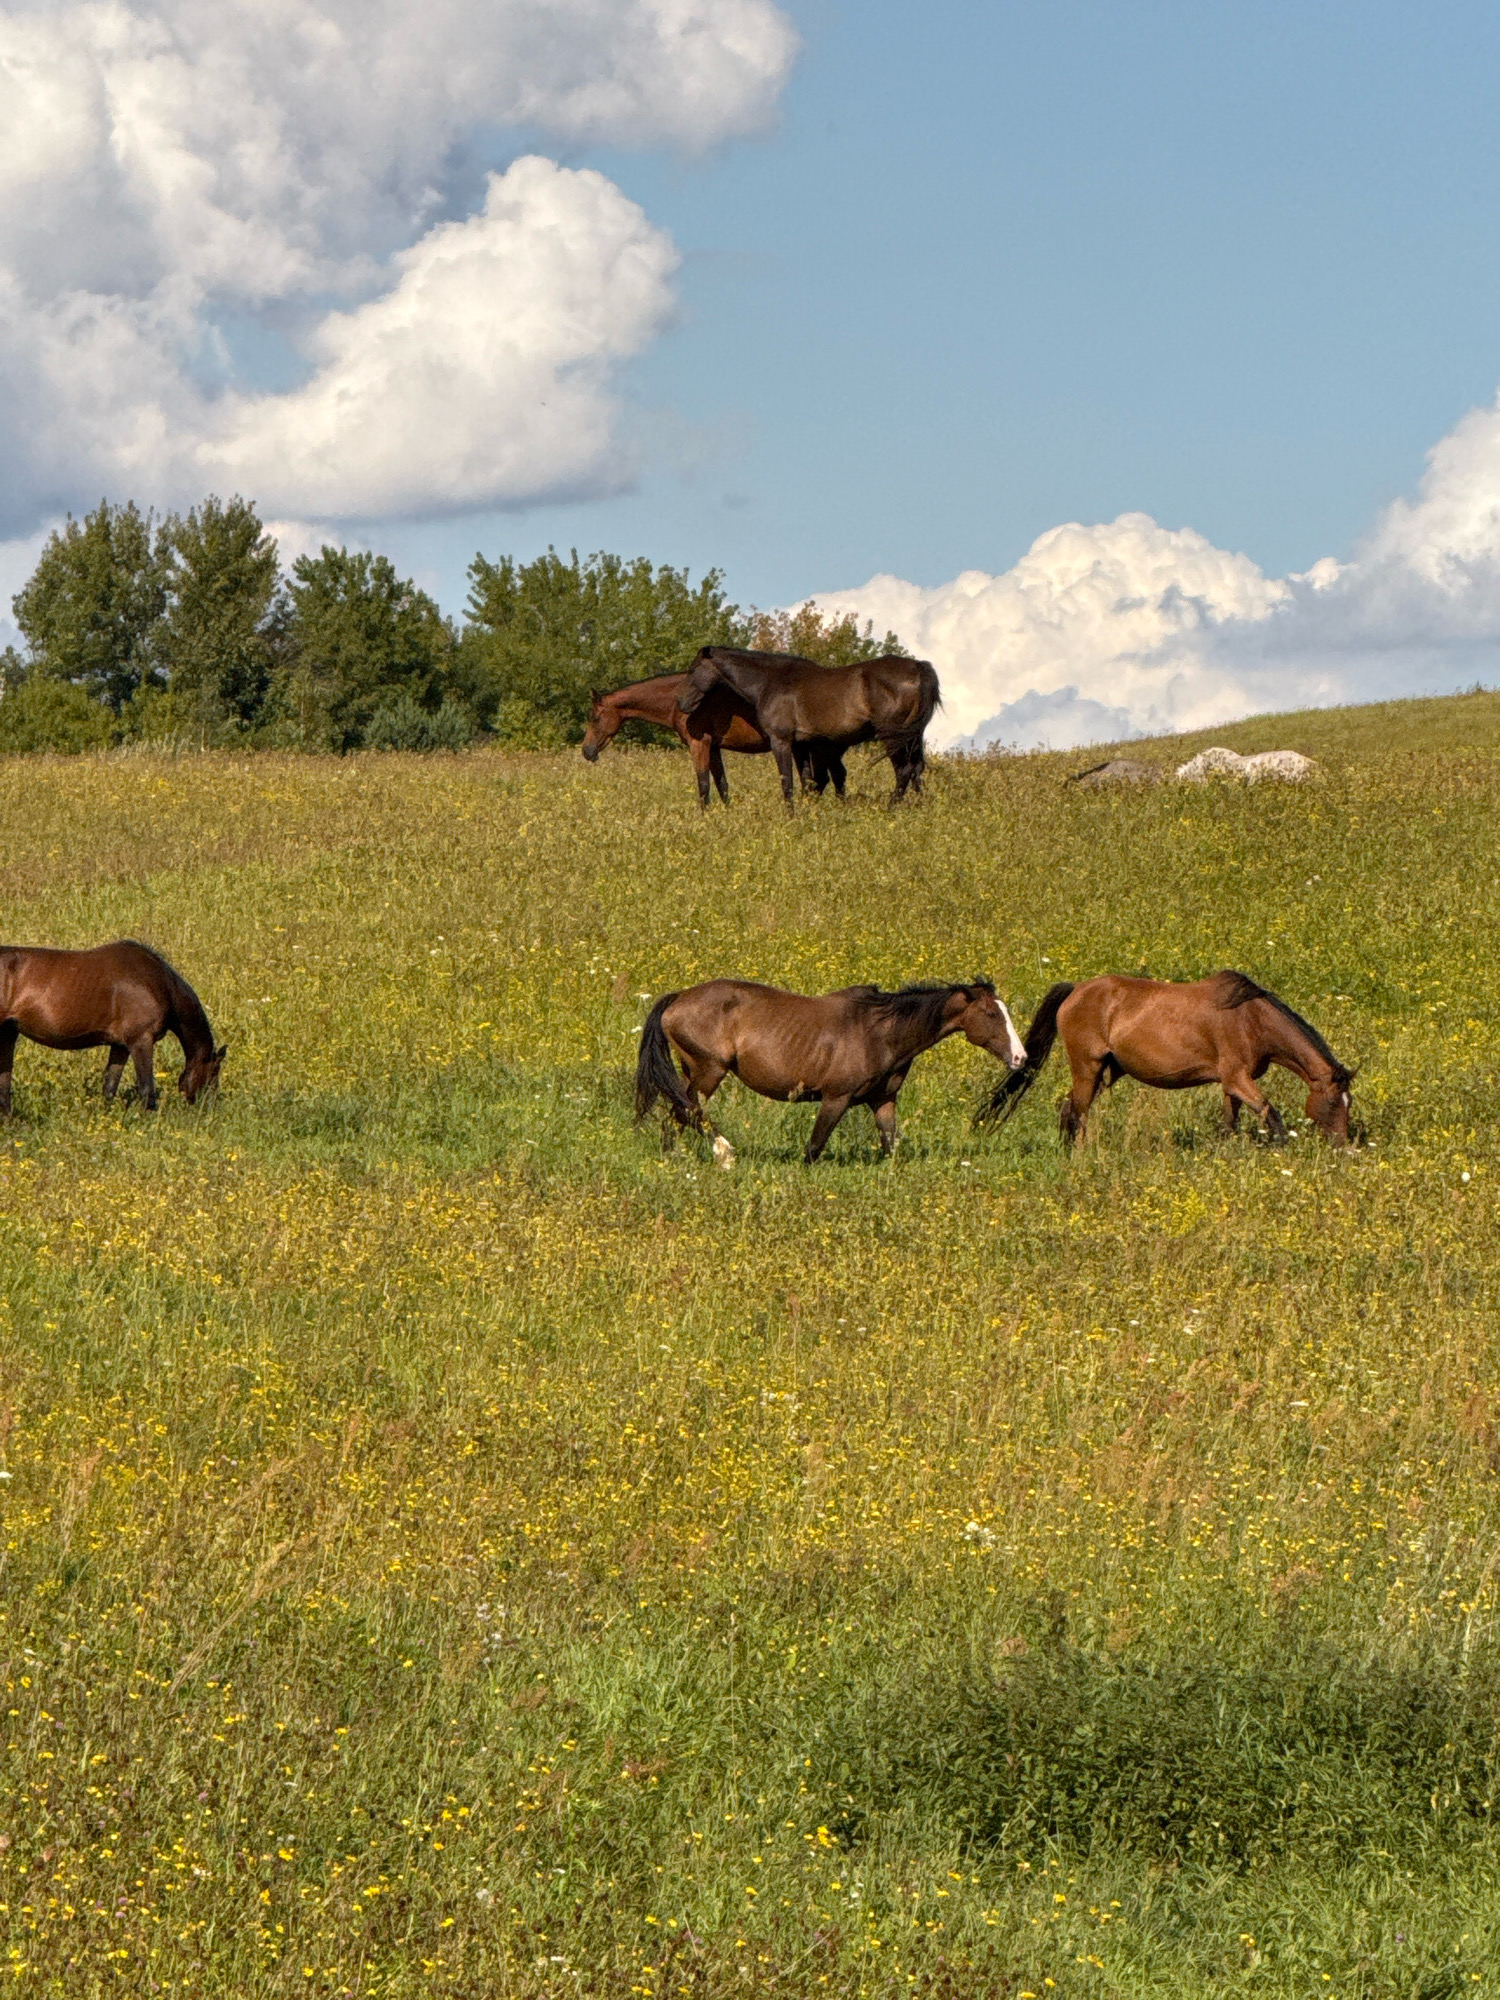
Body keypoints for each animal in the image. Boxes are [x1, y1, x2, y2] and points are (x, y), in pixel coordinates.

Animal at [0, 940, 226, 1114]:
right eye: (214, 1072)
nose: (208, 1109)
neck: (160, 983)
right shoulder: (141, 1041)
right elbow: (147, 1088)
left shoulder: (120, 1047)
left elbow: (109, 1087)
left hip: (8, 1034)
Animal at [580, 674, 846, 810]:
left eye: (595, 717)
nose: (587, 751)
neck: (679, 699)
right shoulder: (715, 748)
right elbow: (722, 785)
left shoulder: (699, 745)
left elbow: (703, 785)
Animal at [636, 977, 1025, 1162]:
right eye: (991, 1013)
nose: (1020, 1058)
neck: (881, 1031)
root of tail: (678, 998)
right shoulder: (836, 1098)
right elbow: (813, 1148)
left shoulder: (883, 1101)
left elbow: (891, 1147)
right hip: (709, 1071)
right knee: (689, 1110)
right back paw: (725, 1153)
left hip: (692, 1072)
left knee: (677, 1114)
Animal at [675, 648, 941, 806]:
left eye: (693, 669)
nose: (681, 702)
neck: (770, 681)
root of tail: (919, 667)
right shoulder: (801, 745)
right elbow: (807, 781)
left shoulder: (781, 741)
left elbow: (788, 782)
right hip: (913, 737)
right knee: (917, 769)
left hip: (893, 737)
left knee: (903, 771)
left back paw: (891, 808)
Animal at [976, 971, 1355, 1146]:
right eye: (1333, 1103)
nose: (1344, 1146)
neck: (1250, 1019)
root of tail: (1076, 990)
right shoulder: (1238, 1078)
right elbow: (1270, 1114)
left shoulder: (1231, 1084)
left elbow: (1230, 1123)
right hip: (1087, 1068)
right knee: (1075, 1113)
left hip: (1098, 1073)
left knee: (1069, 1109)